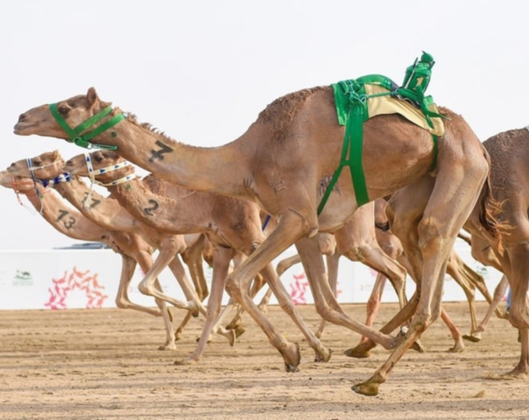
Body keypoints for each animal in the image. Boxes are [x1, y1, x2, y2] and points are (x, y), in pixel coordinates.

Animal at [12, 84, 500, 394]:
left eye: (69, 105)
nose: (20, 117)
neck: (246, 157)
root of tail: (478, 142)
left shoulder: (294, 217)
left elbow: (243, 283)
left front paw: (292, 350)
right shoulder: (301, 226)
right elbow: (318, 300)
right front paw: (304, 350)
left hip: (457, 167)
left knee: (431, 253)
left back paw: (378, 375)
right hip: (413, 193)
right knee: (415, 252)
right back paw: (393, 345)